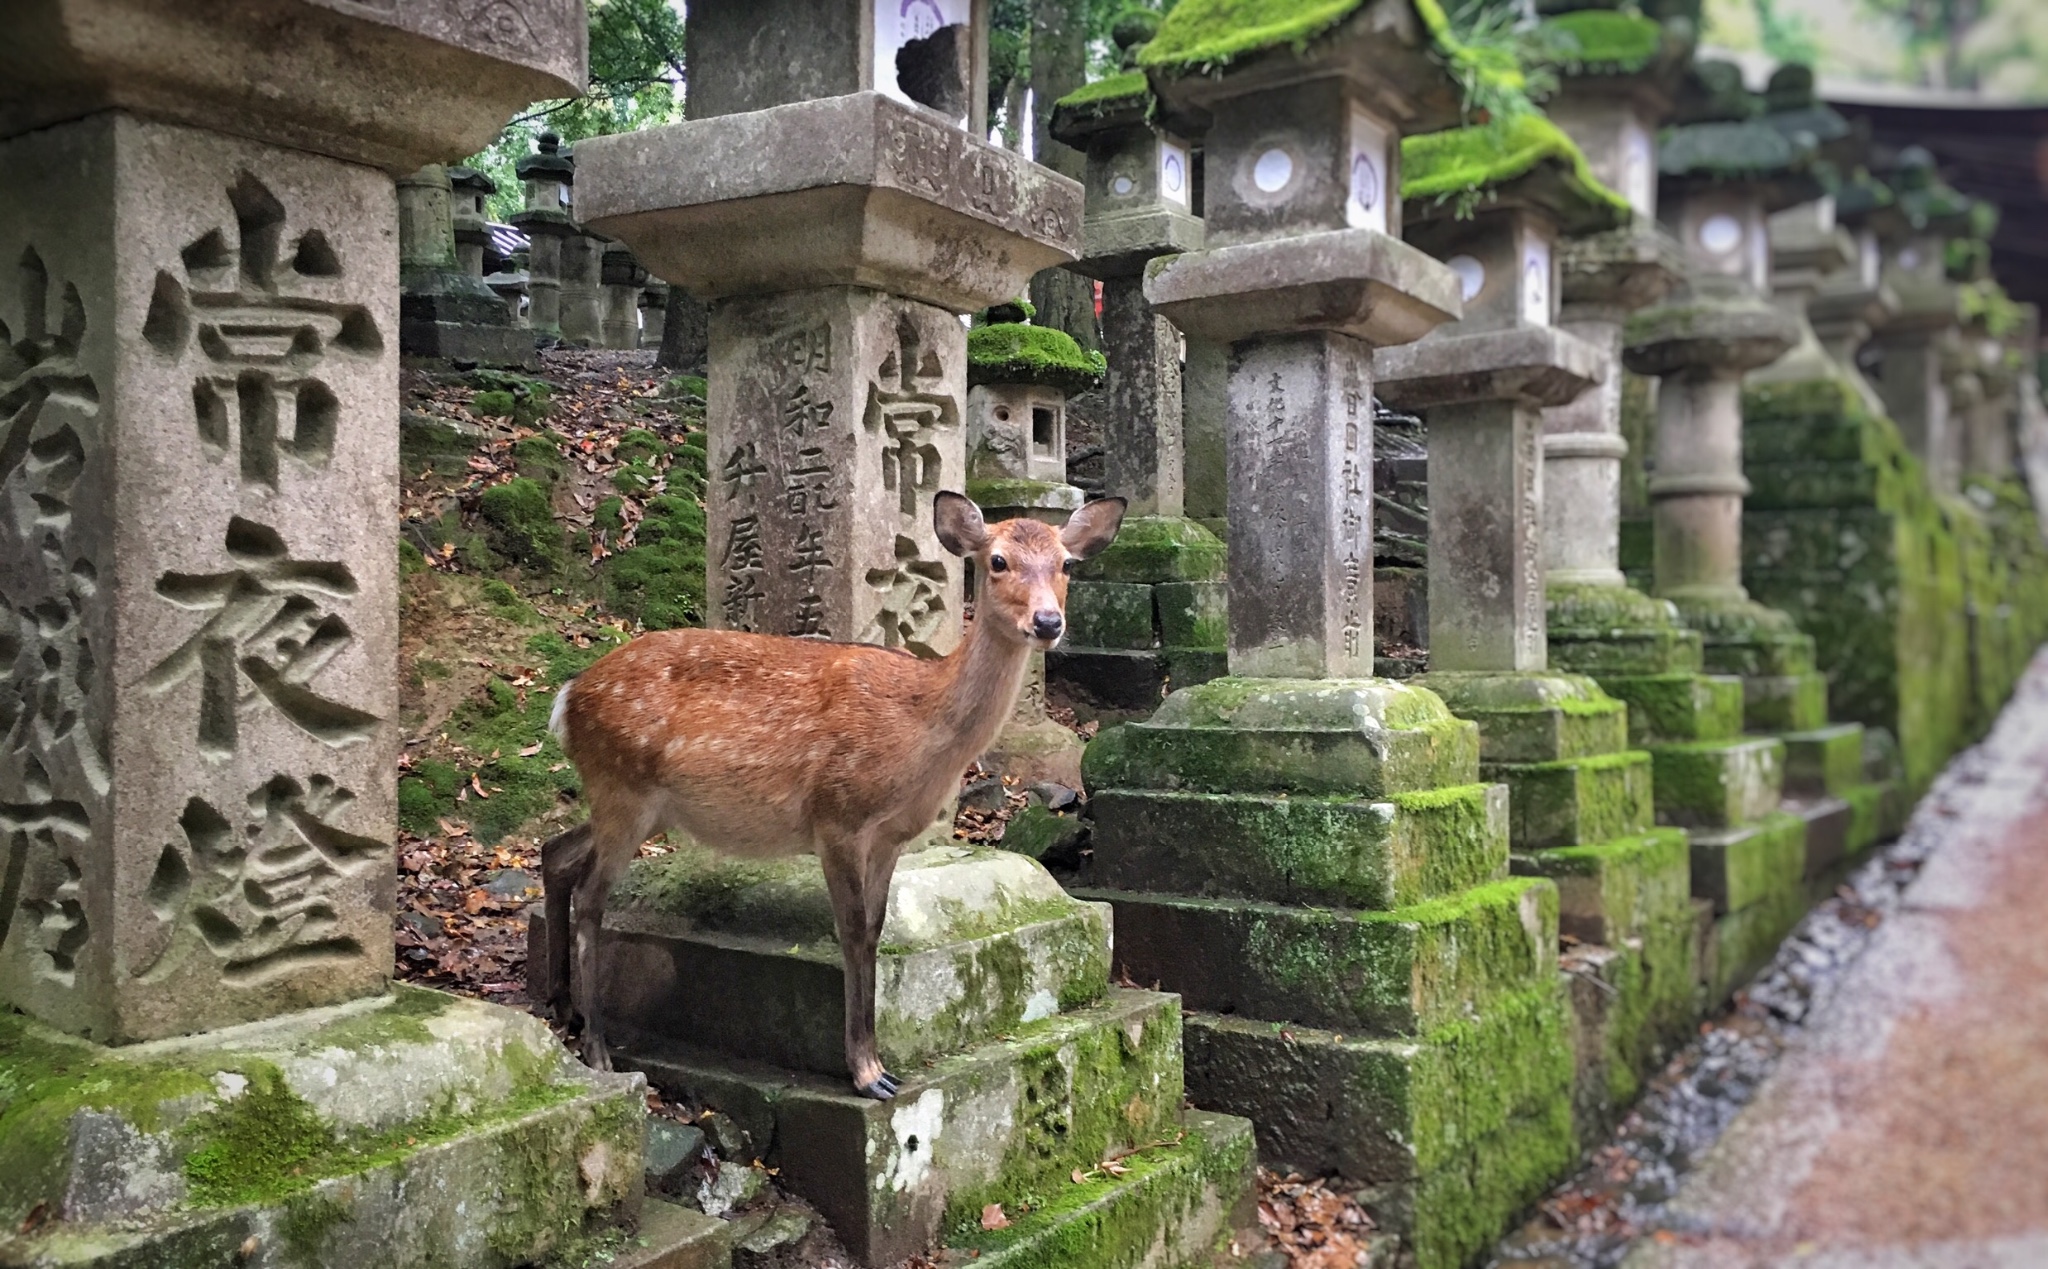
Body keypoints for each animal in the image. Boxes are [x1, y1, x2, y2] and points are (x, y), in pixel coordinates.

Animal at [536, 491, 1130, 1097]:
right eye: (998, 561)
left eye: (1066, 564)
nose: (1047, 621)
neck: (922, 728)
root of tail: (566, 699)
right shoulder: (837, 815)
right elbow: (849, 931)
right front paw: (866, 1074)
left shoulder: (892, 835)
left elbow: (874, 931)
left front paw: (881, 1065)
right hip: (623, 786)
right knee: (592, 897)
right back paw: (598, 1049)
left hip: (643, 804)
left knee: (555, 852)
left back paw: (561, 1005)